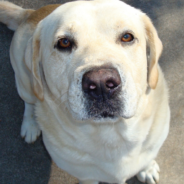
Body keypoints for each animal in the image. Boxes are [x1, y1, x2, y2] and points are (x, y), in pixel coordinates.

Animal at [0, 0, 170, 184]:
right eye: (64, 42)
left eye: (127, 37)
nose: (101, 83)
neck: (111, 134)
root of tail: (30, 13)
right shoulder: (86, 176)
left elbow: (147, 157)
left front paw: (147, 168)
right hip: (25, 82)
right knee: (29, 103)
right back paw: (30, 125)